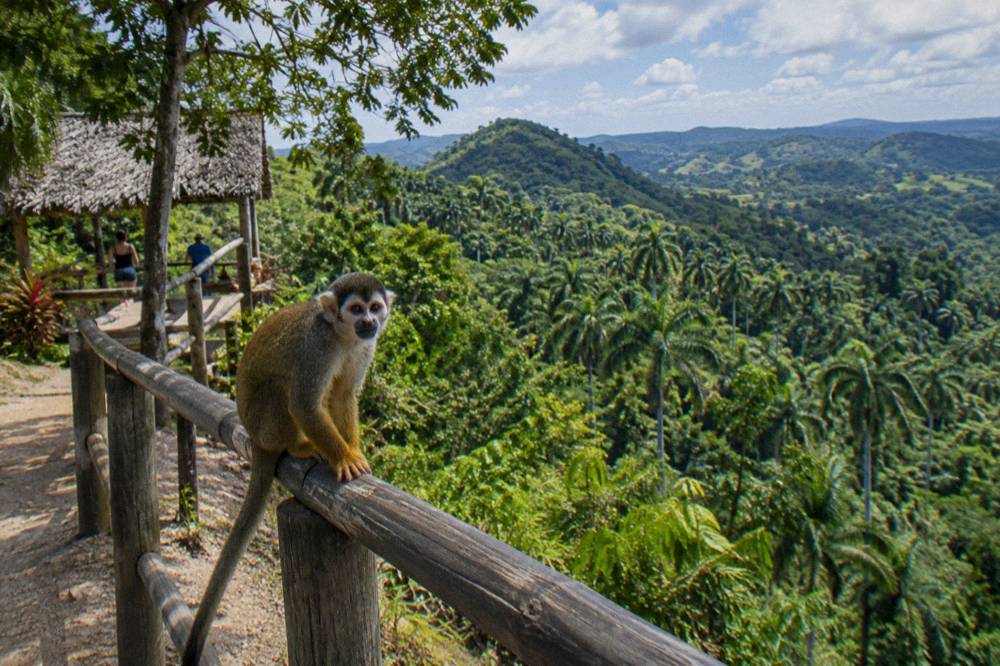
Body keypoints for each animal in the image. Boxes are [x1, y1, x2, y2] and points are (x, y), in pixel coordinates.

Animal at [183, 272, 394, 665]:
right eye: (356, 309)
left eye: (375, 307)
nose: (370, 323)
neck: (342, 337)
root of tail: (254, 436)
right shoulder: (316, 348)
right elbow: (305, 404)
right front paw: (343, 458)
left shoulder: (363, 348)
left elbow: (343, 395)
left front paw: (353, 452)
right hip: (266, 423)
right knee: (285, 388)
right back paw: (300, 446)